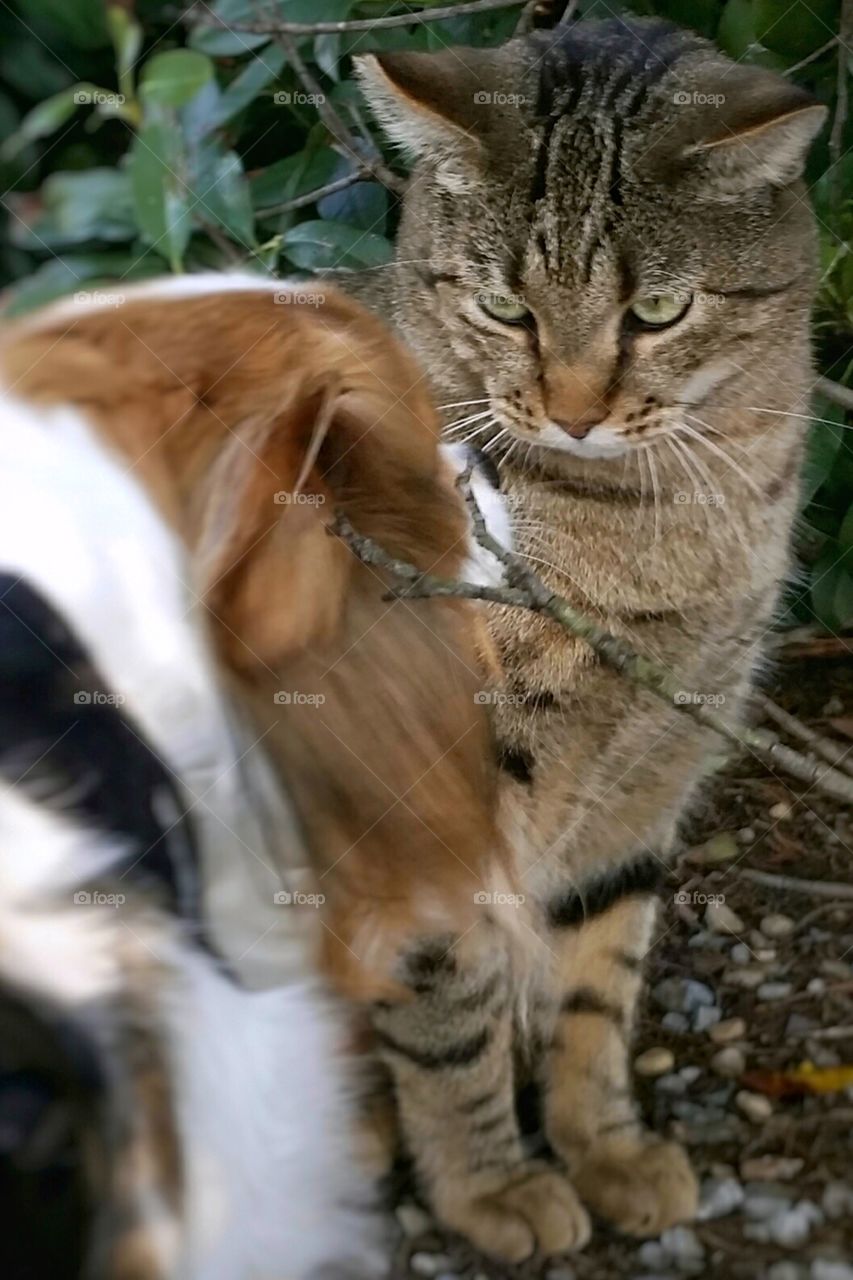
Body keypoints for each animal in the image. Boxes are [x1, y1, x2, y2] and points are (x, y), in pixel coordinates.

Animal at [338, 17, 824, 1259]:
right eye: (506, 309)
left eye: (657, 312)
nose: (572, 412)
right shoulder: (426, 792)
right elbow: (451, 1010)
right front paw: (487, 1184)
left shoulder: (651, 775)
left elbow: (596, 989)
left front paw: (602, 1146)